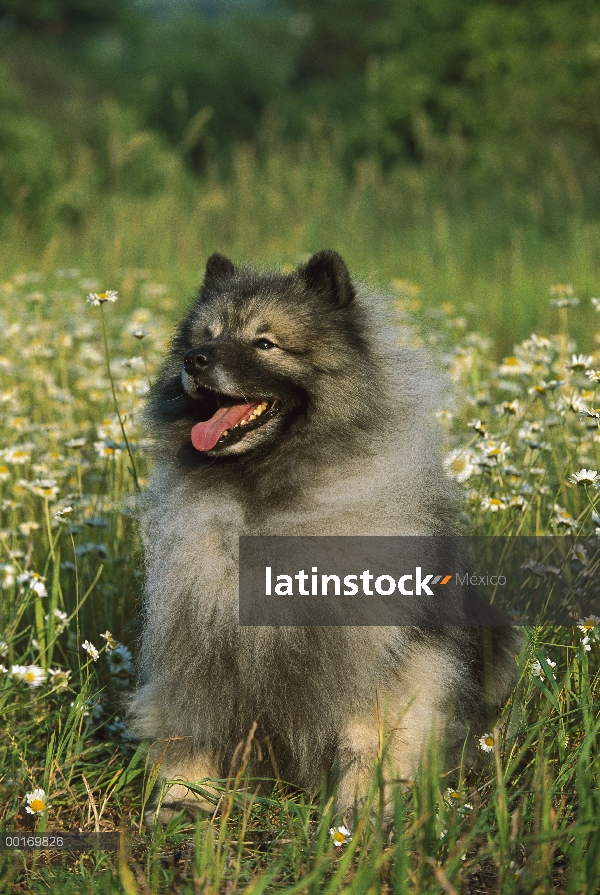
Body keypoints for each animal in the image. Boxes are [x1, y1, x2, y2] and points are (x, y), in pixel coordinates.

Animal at [131, 248, 520, 824]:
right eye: (205, 337)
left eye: (264, 343)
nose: (196, 360)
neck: (265, 505)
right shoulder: (199, 640)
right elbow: (192, 729)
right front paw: (183, 802)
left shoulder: (374, 660)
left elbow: (365, 740)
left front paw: (358, 817)